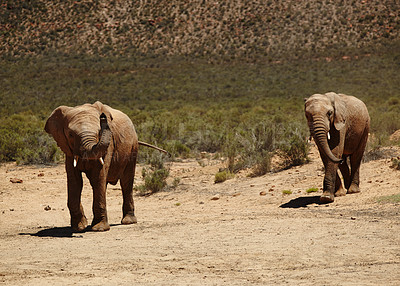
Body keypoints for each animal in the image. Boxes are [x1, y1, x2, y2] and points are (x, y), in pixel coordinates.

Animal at [45, 101, 167, 231]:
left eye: (99, 131)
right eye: (70, 134)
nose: (103, 117)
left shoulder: (109, 145)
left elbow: (98, 177)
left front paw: (99, 229)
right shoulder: (68, 150)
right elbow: (75, 181)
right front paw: (79, 228)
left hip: (133, 147)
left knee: (126, 182)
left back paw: (128, 221)